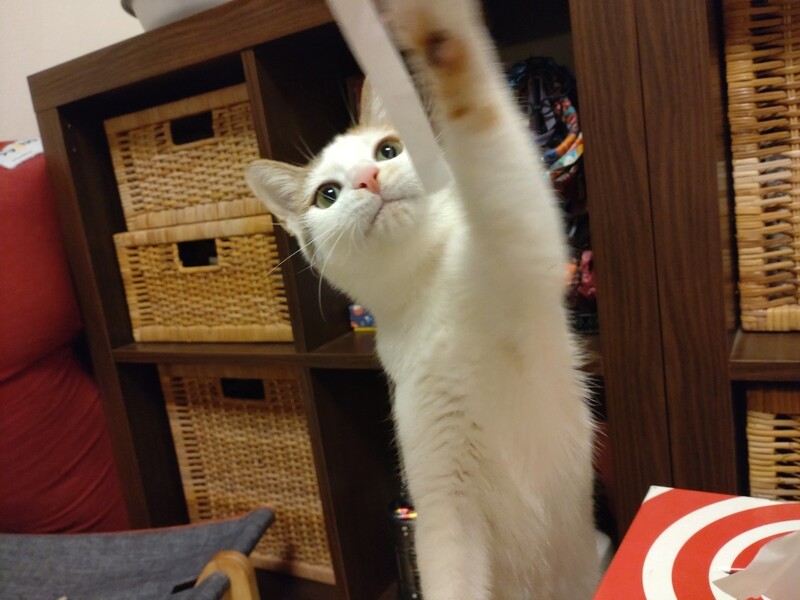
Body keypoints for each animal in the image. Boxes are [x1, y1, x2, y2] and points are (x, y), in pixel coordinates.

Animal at [245, 0, 599, 597]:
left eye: (387, 149)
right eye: (327, 194)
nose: (368, 177)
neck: (428, 288)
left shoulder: (523, 248)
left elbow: (489, 145)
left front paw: (436, 30)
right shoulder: (444, 501)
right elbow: (449, 570)